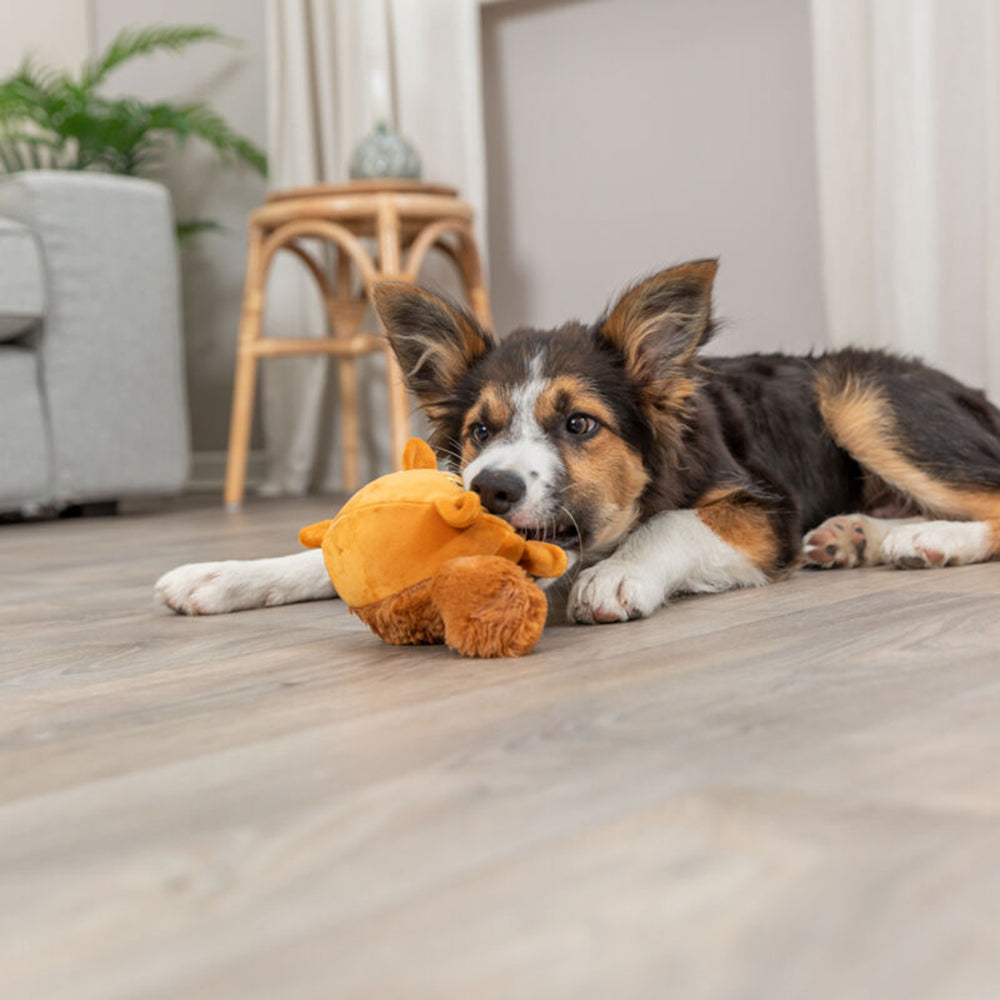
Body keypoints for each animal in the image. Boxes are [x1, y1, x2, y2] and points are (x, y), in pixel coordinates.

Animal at [156, 260, 1000, 624]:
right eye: (480, 430)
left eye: (579, 425)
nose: (489, 489)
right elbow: (335, 550)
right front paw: (223, 575)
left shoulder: (765, 509)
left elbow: (672, 522)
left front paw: (617, 576)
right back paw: (859, 534)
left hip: (863, 400)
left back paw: (927, 539)